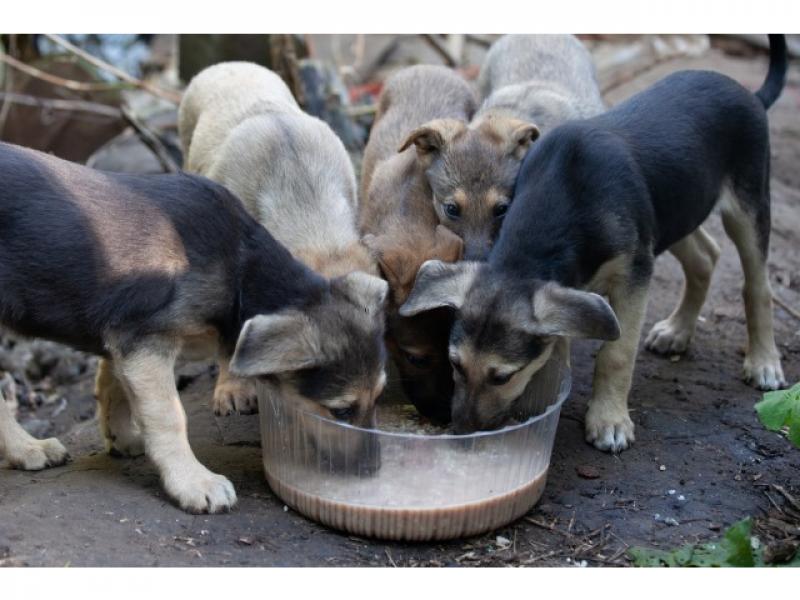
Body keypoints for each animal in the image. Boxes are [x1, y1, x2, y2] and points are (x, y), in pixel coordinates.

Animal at [0, 141, 388, 510]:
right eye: (340, 411)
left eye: (378, 397)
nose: (373, 471)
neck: (240, 273)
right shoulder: (144, 342)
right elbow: (169, 416)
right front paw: (192, 481)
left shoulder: (122, 339)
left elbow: (112, 386)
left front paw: (122, 437)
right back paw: (28, 448)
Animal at [404, 35, 792, 452]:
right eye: (455, 364)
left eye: (502, 376)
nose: (462, 434)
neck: (565, 197)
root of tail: (750, 94)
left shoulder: (635, 274)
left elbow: (617, 354)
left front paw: (609, 420)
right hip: (676, 210)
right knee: (706, 255)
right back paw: (677, 331)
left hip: (747, 205)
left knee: (758, 285)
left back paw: (764, 361)